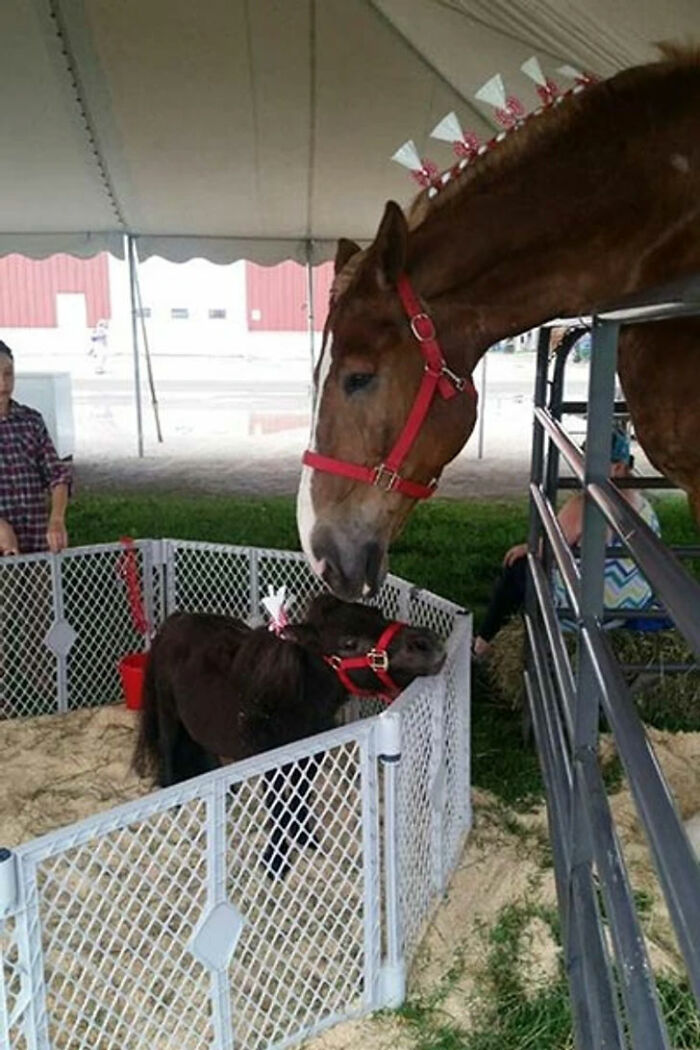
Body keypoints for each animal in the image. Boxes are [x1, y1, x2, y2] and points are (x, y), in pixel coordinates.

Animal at [132, 594, 444, 876]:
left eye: (378, 613)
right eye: (348, 643)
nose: (428, 644)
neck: (292, 698)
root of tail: (177, 619)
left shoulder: (310, 757)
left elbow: (300, 795)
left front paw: (307, 840)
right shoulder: (270, 764)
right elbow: (278, 804)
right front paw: (275, 862)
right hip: (167, 710)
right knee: (168, 746)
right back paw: (174, 805)